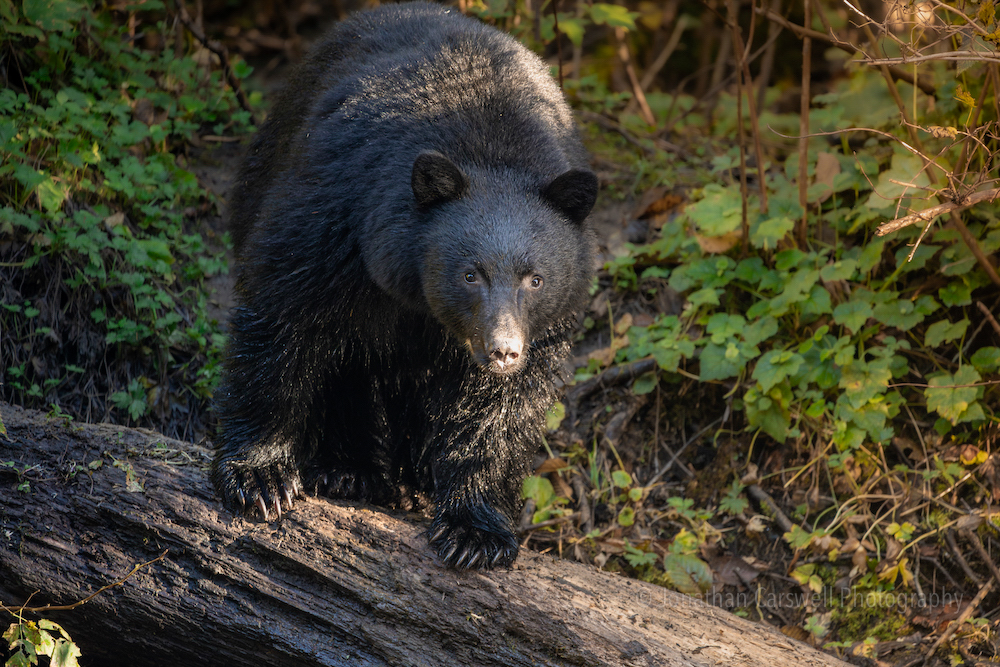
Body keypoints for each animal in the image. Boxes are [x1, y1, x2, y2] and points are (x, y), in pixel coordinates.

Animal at [212, 1, 597, 570]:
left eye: (535, 279)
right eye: (469, 273)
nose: (502, 351)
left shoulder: (547, 325)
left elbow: (502, 410)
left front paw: (475, 530)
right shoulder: (338, 218)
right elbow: (283, 316)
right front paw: (260, 478)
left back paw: (410, 481)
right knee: (344, 363)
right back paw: (348, 469)